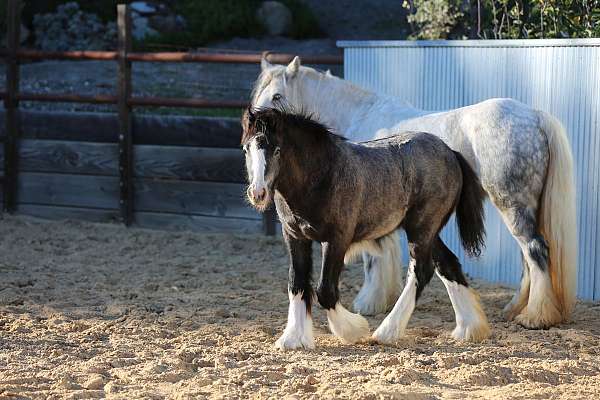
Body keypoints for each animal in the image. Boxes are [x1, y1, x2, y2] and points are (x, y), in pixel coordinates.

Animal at [252, 57, 576, 332]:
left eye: (277, 96)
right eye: (259, 95)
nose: (256, 124)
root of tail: (534, 116)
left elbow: (374, 259)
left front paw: (369, 303)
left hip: (512, 205)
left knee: (535, 251)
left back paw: (535, 317)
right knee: (528, 259)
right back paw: (515, 310)